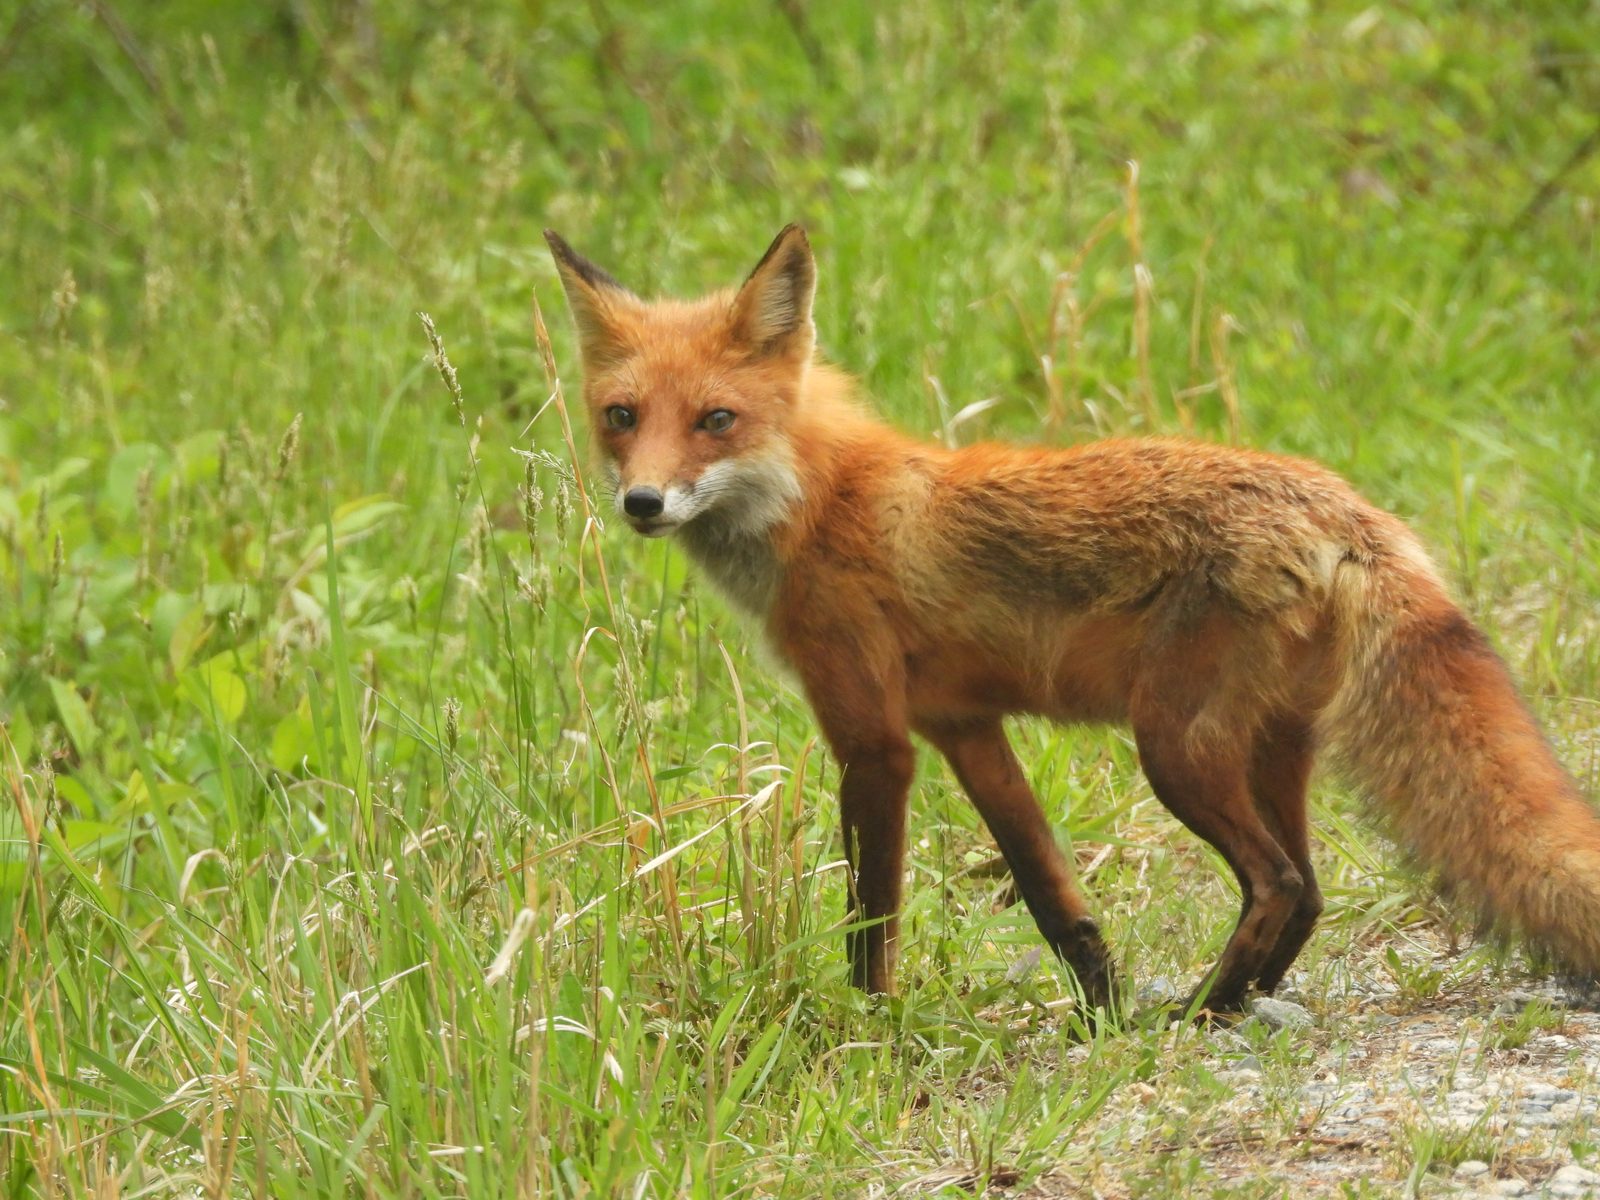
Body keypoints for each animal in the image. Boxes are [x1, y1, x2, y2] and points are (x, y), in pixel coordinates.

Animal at [543, 223, 1600, 1019]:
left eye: (716, 420)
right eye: (622, 416)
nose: (642, 502)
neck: (817, 504)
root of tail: (1349, 511)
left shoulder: (875, 740)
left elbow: (870, 914)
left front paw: (865, 1028)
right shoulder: (965, 727)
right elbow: (1054, 896)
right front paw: (1099, 1008)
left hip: (1174, 746)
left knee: (1280, 882)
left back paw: (1204, 1011)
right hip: (1268, 750)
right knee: (1308, 891)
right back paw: (1238, 1001)